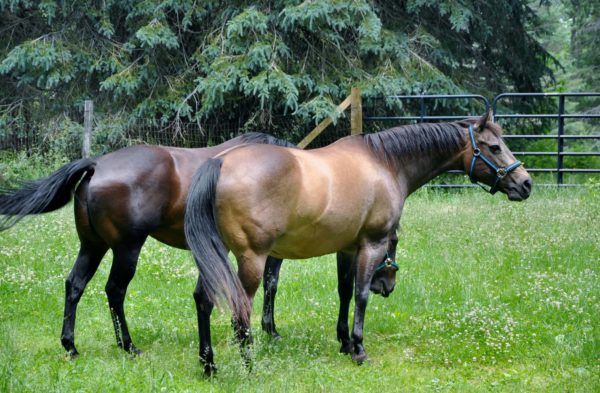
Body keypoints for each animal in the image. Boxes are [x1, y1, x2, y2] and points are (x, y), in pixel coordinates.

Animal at [185, 110, 532, 374]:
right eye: (494, 147)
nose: (525, 183)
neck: (386, 162)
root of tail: (221, 163)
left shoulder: (347, 249)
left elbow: (345, 293)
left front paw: (344, 342)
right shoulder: (371, 245)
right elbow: (362, 295)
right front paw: (359, 348)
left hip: (218, 256)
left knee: (204, 299)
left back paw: (209, 365)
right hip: (252, 260)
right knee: (239, 309)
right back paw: (249, 365)